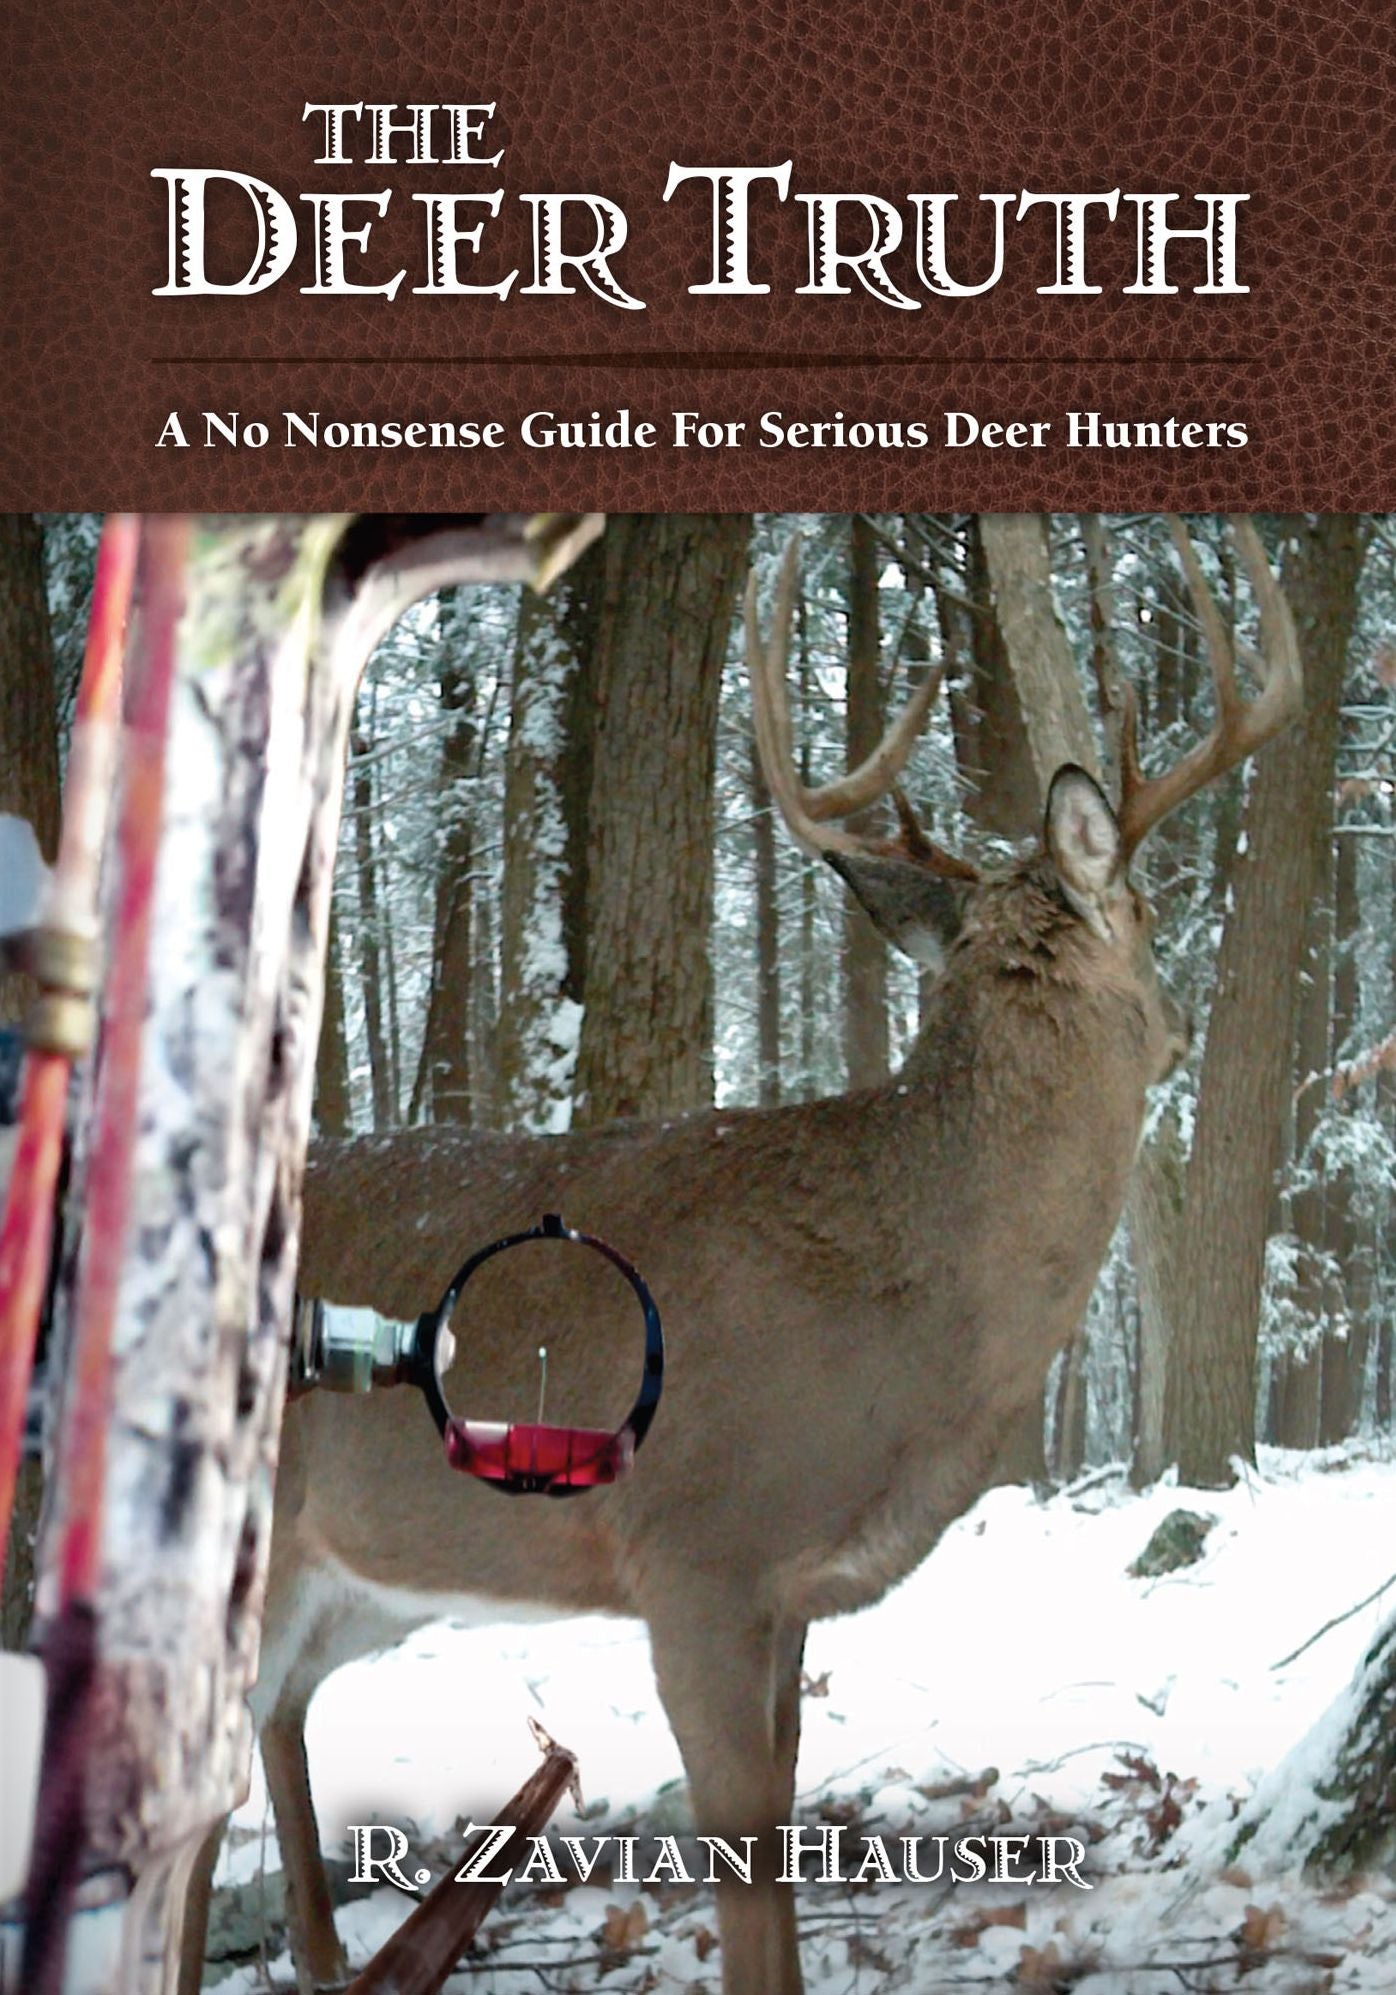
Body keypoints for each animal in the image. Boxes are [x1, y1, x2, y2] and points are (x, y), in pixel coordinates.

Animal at [183, 519, 1300, 1995]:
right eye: (1158, 918)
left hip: (357, 1581)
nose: (1176, 1024)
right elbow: (741, 1864)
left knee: (275, 1725)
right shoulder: (695, 1554)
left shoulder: (791, 1594)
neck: (907, 1305)